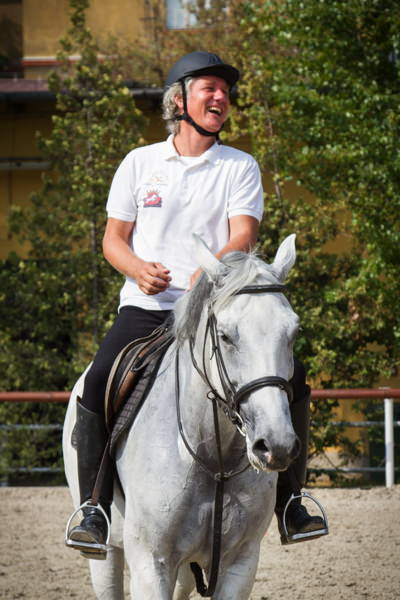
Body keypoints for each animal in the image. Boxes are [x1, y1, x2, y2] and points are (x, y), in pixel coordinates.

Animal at [62, 234, 300, 600]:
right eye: (226, 336)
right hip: (106, 553)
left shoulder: (240, 563)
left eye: (293, 333)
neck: (213, 459)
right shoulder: (151, 563)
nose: (276, 446)